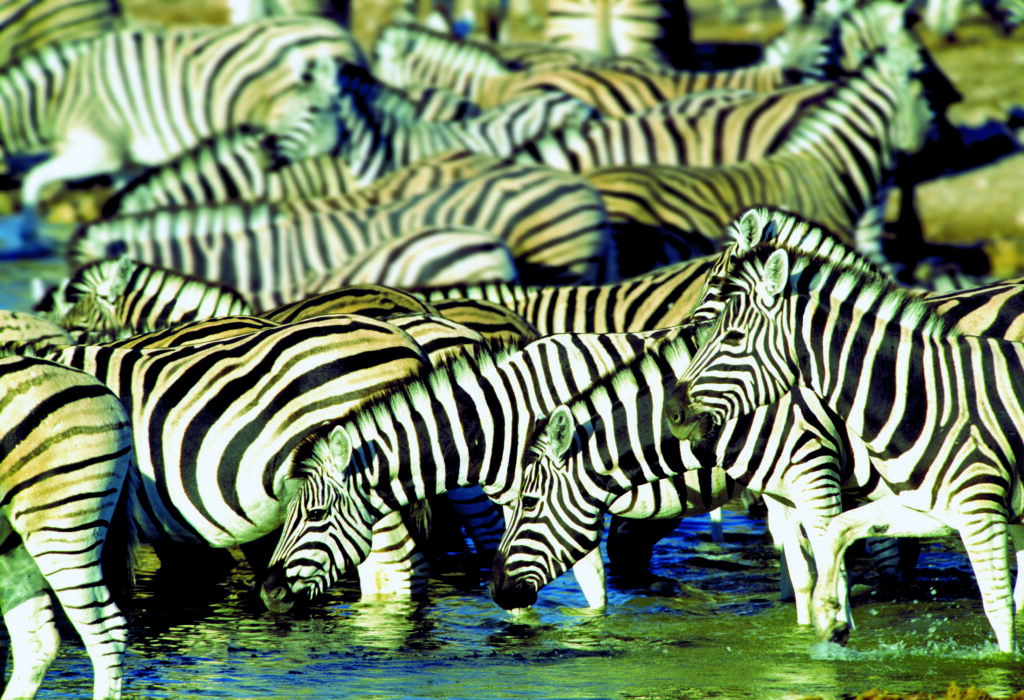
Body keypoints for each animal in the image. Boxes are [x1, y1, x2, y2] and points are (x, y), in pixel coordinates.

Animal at [667, 244, 1024, 653]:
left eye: (733, 336)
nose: (673, 411)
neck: (920, 395)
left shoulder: (977, 508)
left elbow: (998, 611)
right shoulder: (929, 507)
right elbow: (828, 545)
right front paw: (828, 621)